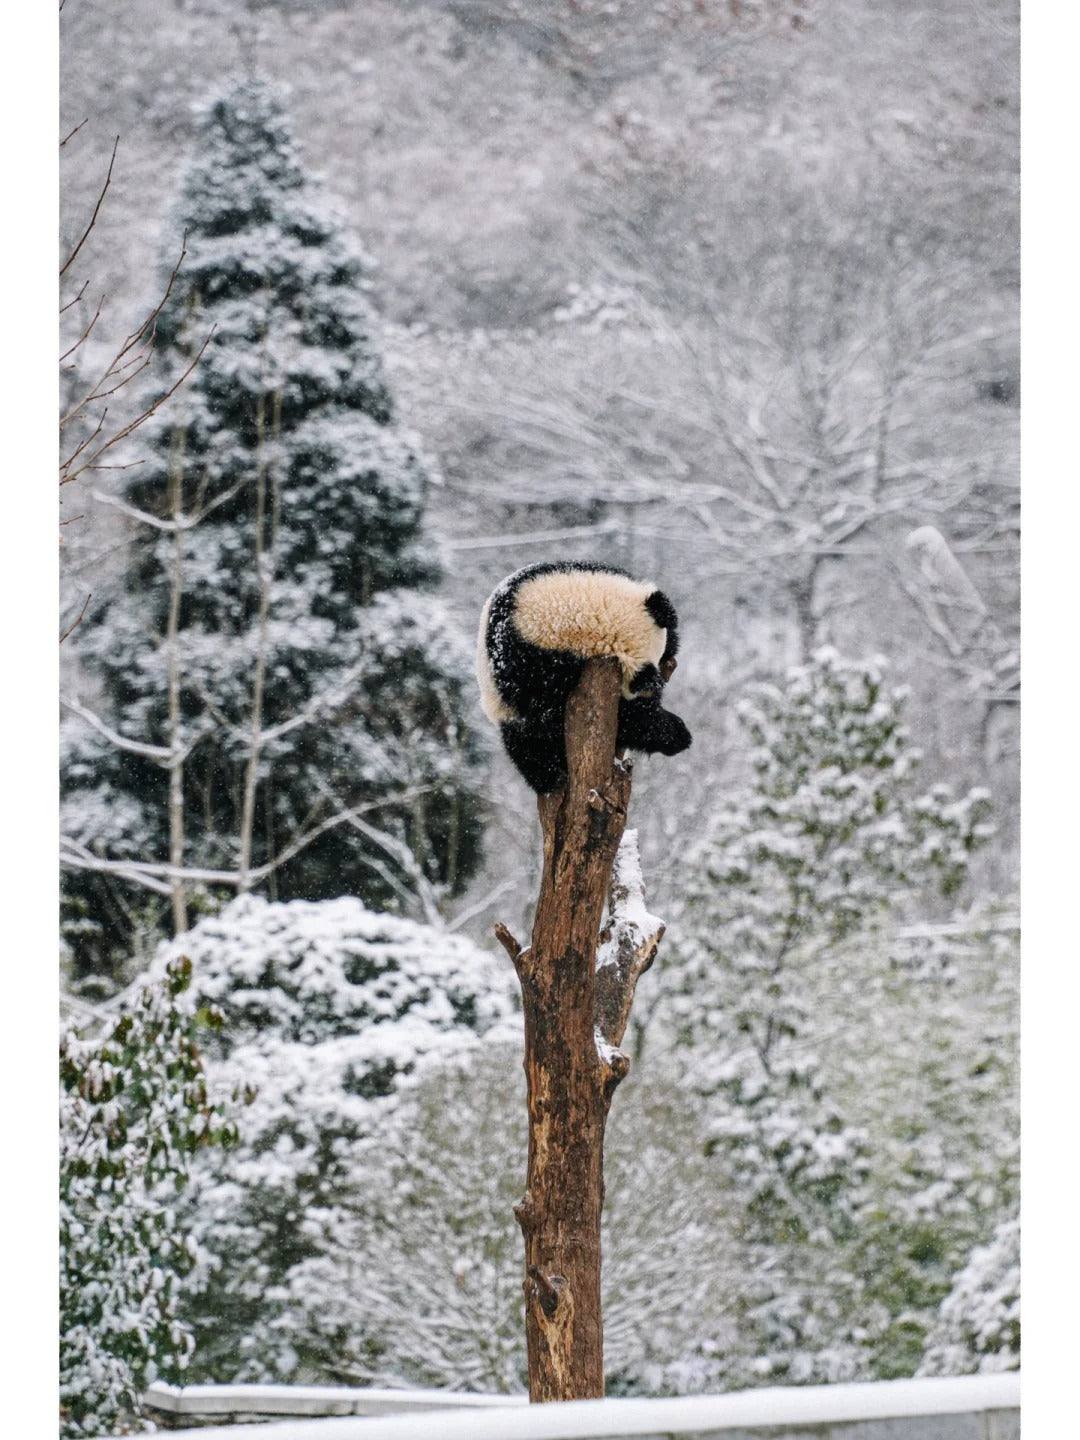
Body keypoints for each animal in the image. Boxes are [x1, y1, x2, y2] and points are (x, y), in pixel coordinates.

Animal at [476, 560, 692, 793]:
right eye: (642, 677)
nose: (652, 686)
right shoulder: (532, 669)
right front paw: (675, 732)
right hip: (503, 708)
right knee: (527, 746)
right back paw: (550, 777)